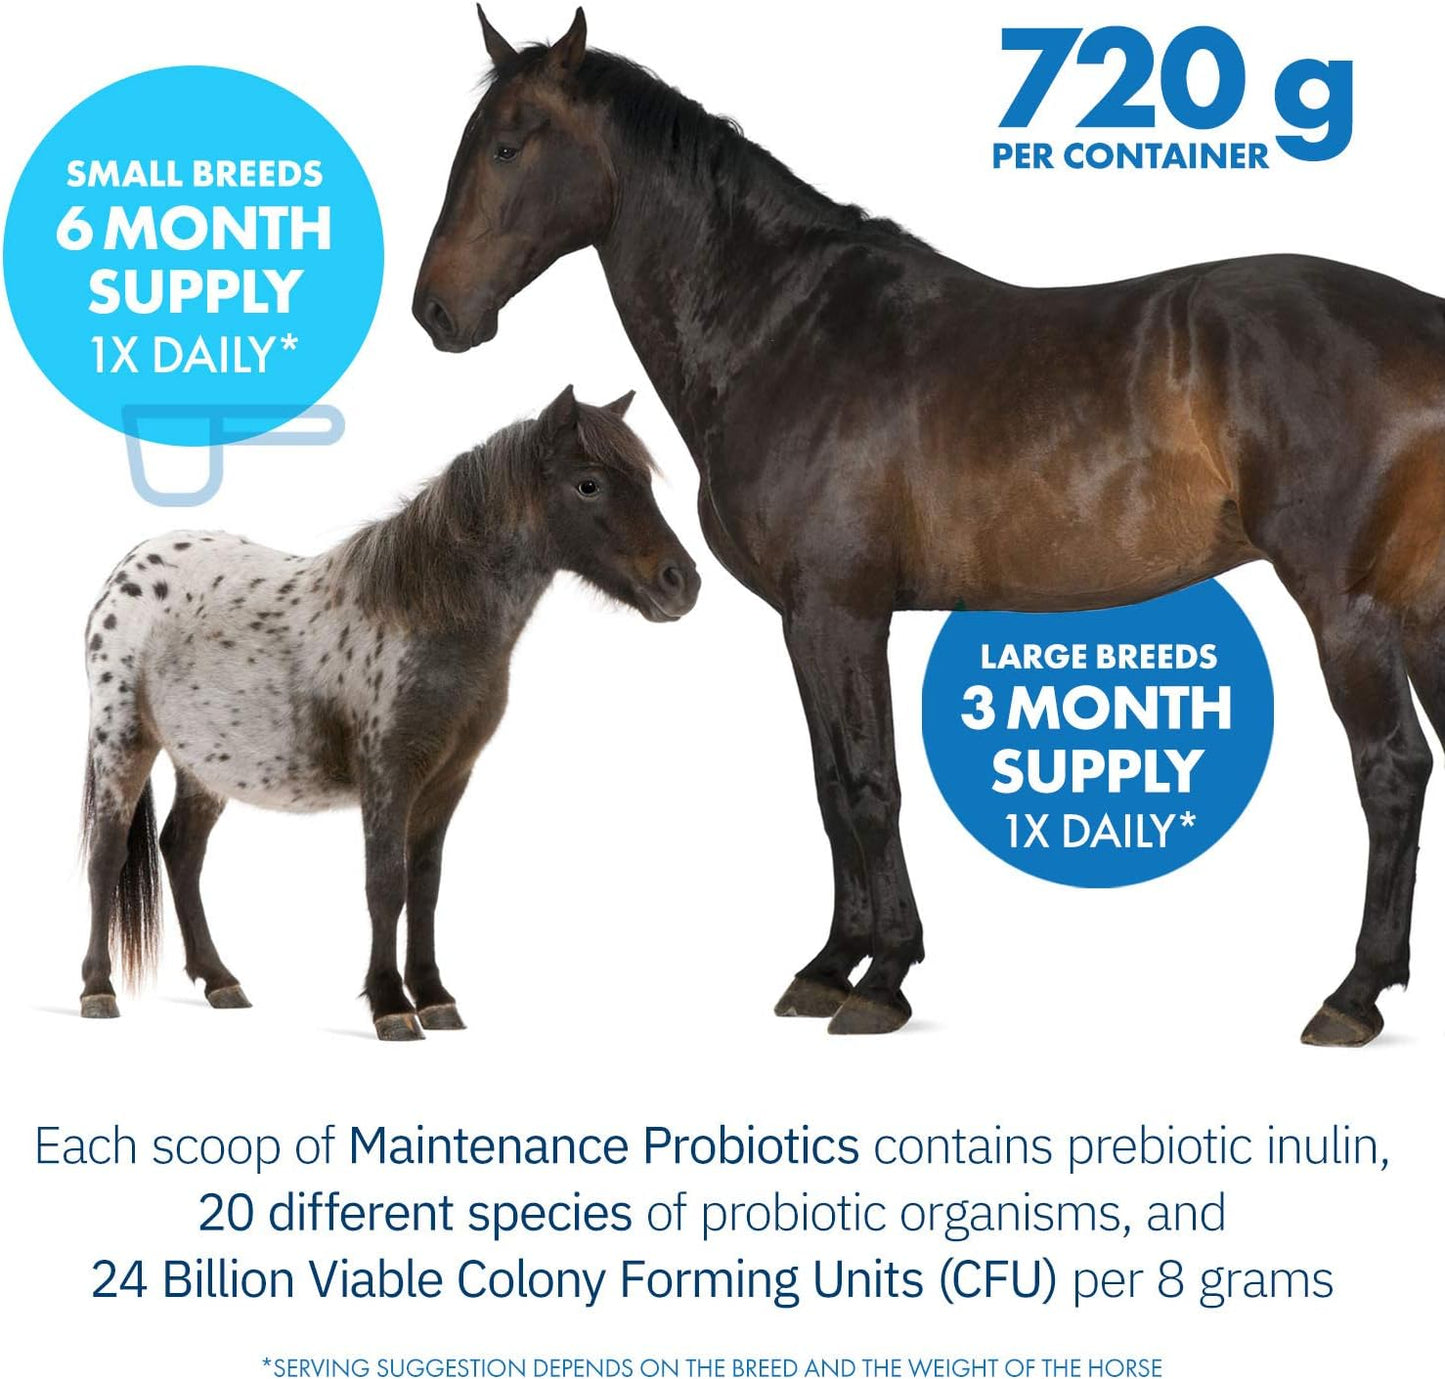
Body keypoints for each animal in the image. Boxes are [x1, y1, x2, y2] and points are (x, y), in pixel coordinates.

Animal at [79, 385, 700, 1039]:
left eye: (644, 481)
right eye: (589, 485)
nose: (681, 583)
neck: (425, 616)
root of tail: (130, 566)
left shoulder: (448, 780)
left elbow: (425, 886)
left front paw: (435, 997)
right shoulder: (389, 777)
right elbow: (385, 886)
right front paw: (391, 1005)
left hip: (204, 765)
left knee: (182, 851)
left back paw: (221, 981)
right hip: (122, 742)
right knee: (107, 854)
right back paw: (98, 990)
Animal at [411, 8, 1445, 1045]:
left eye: (507, 146)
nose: (436, 312)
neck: (782, 327)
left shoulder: (841, 612)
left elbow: (872, 786)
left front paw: (882, 979)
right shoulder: (802, 622)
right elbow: (831, 787)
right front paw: (828, 966)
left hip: (1349, 609)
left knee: (1392, 769)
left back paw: (1351, 995)